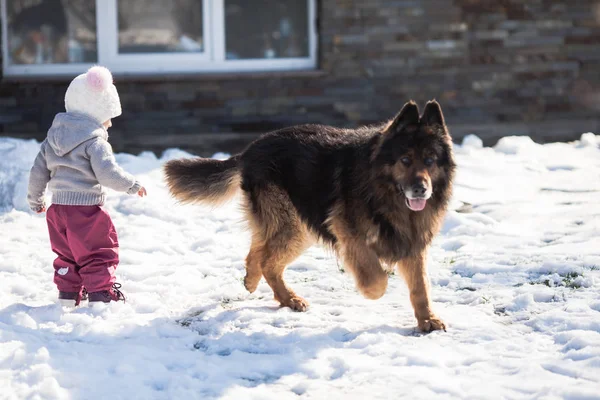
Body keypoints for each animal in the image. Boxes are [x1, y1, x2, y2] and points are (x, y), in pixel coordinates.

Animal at [164, 101, 454, 332]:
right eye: (405, 160)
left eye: (430, 160)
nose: (421, 189)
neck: (380, 188)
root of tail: (251, 149)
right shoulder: (349, 234)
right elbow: (377, 280)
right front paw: (372, 289)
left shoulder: (412, 243)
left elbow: (420, 287)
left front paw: (427, 319)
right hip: (293, 225)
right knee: (268, 260)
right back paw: (284, 295)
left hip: (298, 228)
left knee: (260, 251)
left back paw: (258, 282)